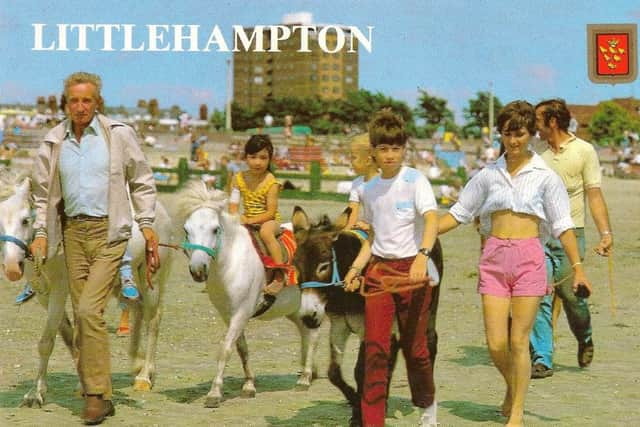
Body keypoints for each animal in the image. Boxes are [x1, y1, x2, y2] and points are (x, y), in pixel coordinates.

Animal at [0, 171, 174, 408]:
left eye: (25, 220)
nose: (10, 267)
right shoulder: (44, 294)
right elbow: (69, 336)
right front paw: (81, 384)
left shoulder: (60, 290)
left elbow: (48, 341)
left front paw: (35, 395)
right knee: (137, 309)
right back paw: (136, 363)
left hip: (151, 278)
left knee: (153, 319)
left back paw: (145, 376)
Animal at [178, 182, 320, 410]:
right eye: (186, 230)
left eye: (215, 229)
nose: (198, 270)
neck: (232, 263)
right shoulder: (229, 315)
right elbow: (241, 348)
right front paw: (249, 386)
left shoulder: (241, 313)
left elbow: (225, 349)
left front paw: (214, 393)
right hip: (296, 310)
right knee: (306, 334)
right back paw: (306, 374)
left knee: (314, 336)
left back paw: (305, 379)